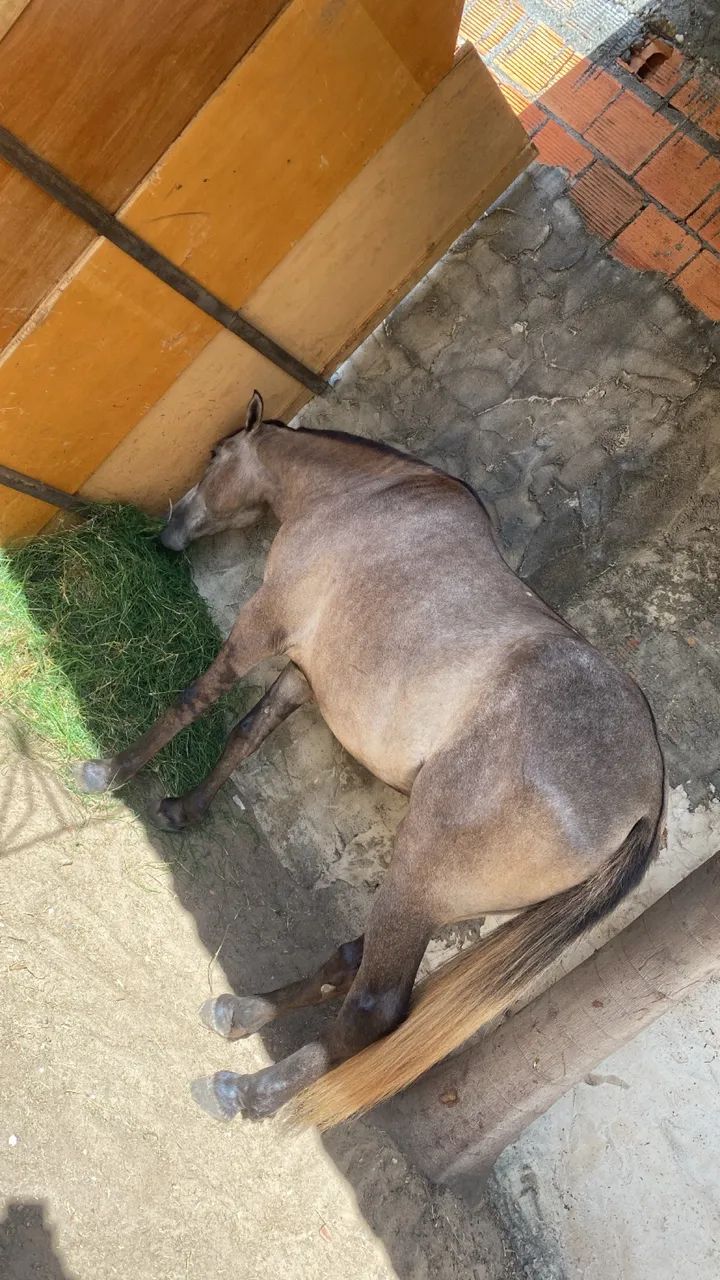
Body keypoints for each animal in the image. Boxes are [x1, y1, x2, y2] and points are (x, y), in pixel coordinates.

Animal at [75, 391, 665, 1130]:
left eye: (214, 456)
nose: (169, 531)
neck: (366, 495)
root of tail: (646, 796)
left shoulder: (263, 623)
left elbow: (195, 700)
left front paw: (112, 772)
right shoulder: (302, 674)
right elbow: (246, 732)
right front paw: (185, 809)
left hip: (415, 882)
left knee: (374, 1008)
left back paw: (246, 1090)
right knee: (352, 960)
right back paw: (241, 1011)